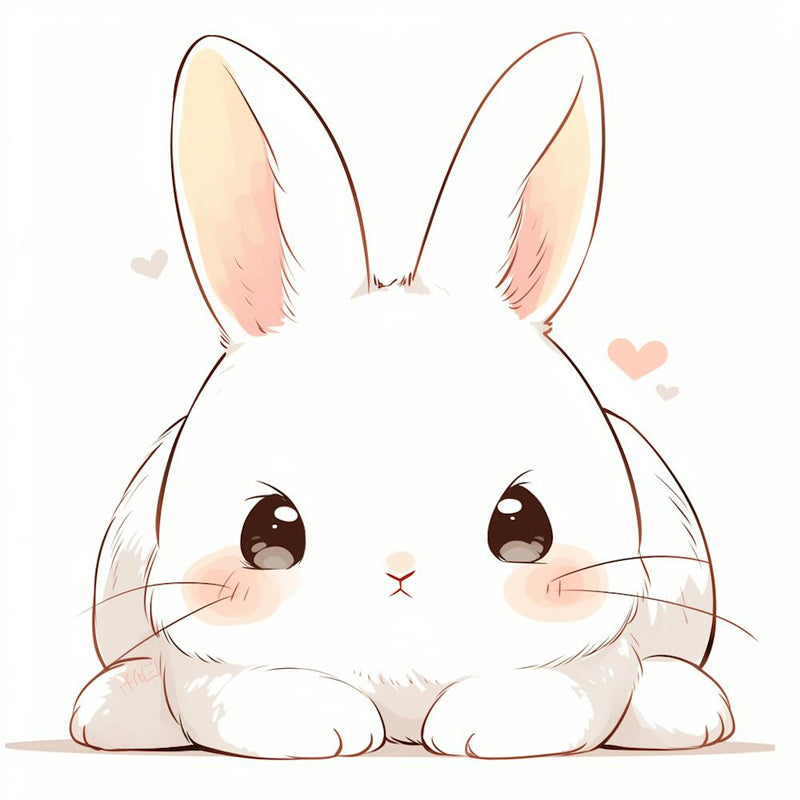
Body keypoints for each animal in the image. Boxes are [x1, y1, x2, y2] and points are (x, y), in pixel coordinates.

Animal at [70, 32, 734, 758]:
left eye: (523, 525)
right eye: (267, 534)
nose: (400, 571)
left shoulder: (597, 649)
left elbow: (576, 686)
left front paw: (481, 726)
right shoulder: (201, 655)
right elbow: (227, 692)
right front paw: (324, 724)